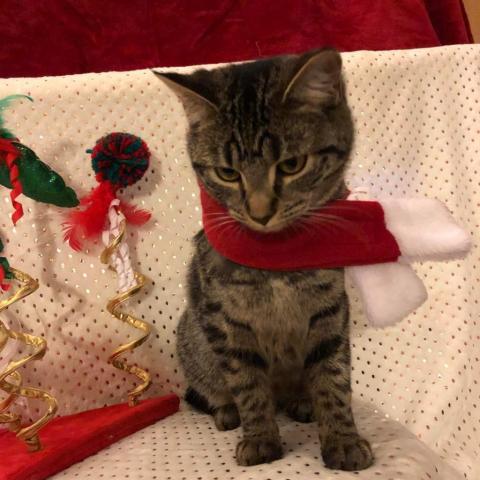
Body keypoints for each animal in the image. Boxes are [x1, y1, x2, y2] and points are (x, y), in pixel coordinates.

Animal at [154, 48, 374, 470]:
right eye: (227, 173)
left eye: (291, 165)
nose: (259, 213)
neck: (277, 260)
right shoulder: (225, 319)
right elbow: (248, 384)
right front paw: (259, 439)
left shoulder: (330, 309)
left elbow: (333, 378)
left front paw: (342, 438)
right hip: (193, 336)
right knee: (213, 390)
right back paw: (227, 412)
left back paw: (301, 402)